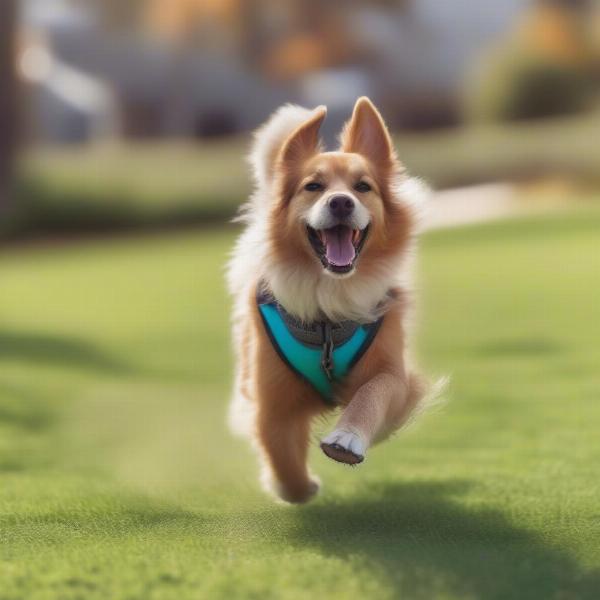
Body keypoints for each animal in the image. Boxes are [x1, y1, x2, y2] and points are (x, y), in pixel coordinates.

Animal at [229, 97, 432, 502]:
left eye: (363, 186)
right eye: (313, 186)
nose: (340, 202)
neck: (329, 297)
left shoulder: (395, 375)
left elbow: (373, 392)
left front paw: (347, 438)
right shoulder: (270, 398)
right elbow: (282, 456)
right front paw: (296, 487)